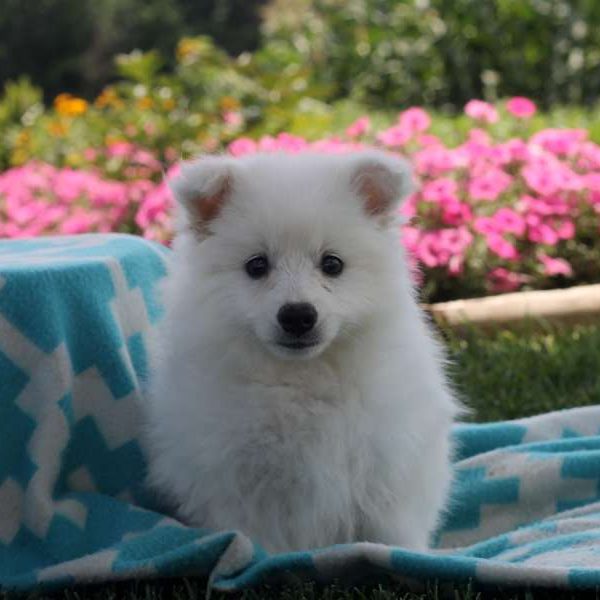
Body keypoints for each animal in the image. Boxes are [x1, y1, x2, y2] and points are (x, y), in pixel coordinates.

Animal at [143, 150, 462, 552]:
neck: (301, 377)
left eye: (332, 264)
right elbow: (259, 540)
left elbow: (392, 534)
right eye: (257, 265)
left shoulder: (386, 469)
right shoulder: (238, 481)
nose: (297, 315)